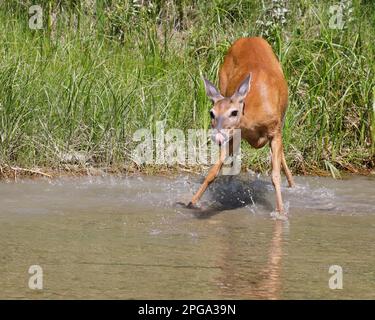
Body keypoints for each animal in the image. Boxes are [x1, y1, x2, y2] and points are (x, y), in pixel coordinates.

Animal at [189, 36, 296, 219]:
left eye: (233, 112)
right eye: (212, 113)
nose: (216, 137)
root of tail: (249, 37)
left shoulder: (275, 132)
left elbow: (275, 175)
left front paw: (280, 212)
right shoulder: (233, 133)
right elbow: (213, 171)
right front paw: (192, 202)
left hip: (281, 119)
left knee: (281, 156)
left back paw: (292, 185)